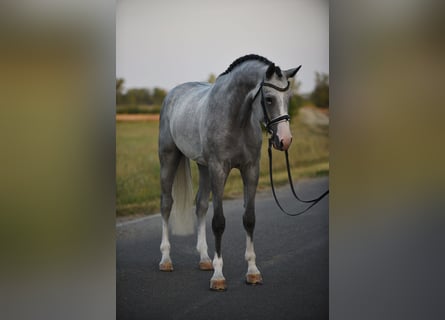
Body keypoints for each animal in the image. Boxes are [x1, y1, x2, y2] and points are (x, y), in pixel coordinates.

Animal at [158, 54, 300, 290]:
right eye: (269, 99)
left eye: (288, 97)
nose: (285, 140)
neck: (235, 118)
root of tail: (173, 94)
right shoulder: (219, 169)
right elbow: (219, 222)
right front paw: (218, 277)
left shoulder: (251, 170)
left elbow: (249, 219)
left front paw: (253, 271)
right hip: (169, 158)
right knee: (167, 204)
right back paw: (166, 259)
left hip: (203, 167)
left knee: (200, 205)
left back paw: (204, 259)